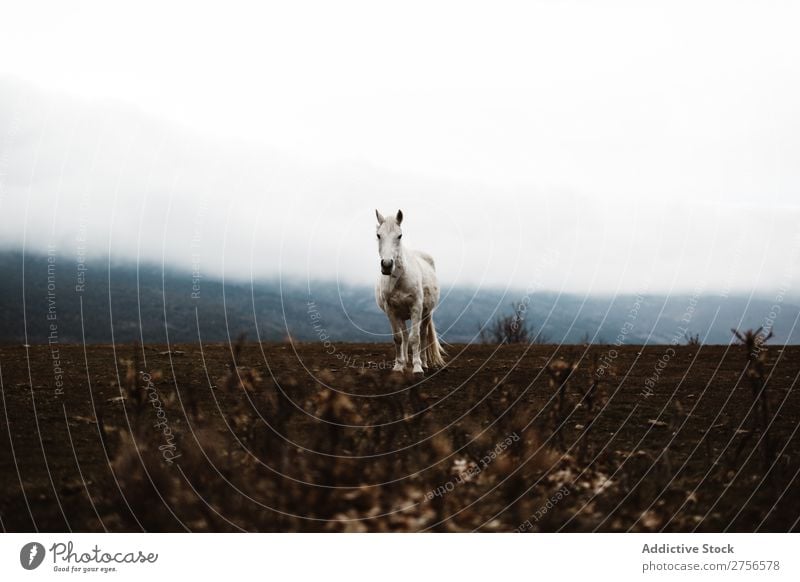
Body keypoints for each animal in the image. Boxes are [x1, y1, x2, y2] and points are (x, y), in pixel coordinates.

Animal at [374, 209, 446, 374]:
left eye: (399, 235)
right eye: (378, 235)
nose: (387, 265)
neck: (399, 279)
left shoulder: (416, 308)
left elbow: (416, 338)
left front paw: (417, 368)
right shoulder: (391, 310)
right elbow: (398, 338)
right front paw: (399, 366)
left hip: (426, 314)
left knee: (423, 334)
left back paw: (424, 363)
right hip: (401, 315)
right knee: (405, 335)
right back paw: (406, 362)